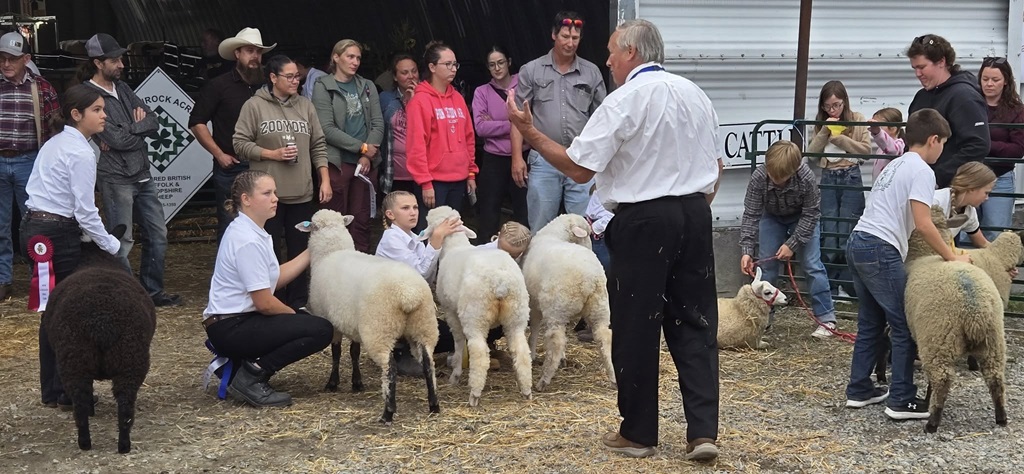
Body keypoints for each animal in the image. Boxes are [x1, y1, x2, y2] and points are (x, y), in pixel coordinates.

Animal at [43, 224, 156, 453]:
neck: (94, 257)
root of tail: (102, 322)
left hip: (80, 361)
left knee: (84, 403)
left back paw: (94, 443)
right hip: (125, 360)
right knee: (122, 406)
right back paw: (117, 445)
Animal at [303, 210, 440, 423]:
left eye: (313, 227)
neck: (331, 252)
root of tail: (408, 294)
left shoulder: (333, 322)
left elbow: (336, 352)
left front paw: (333, 383)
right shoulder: (353, 324)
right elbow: (354, 352)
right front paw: (357, 383)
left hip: (379, 329)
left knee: (390, 368)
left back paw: (388, 412)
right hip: (423, 325)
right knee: (428, 364)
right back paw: (434, 405)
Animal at [423, 206, 532, 406]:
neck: (454, 247)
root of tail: (500, 281)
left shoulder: (450, 311)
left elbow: (458, 340)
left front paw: (455, 374)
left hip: (475, 315)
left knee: (480, 354)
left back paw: (474, 394)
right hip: (517, 313)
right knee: (521, 351)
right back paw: (526, 390)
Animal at [519, 213, 614, 391]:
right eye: (588, 233)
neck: (555, 235)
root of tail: (590, 279)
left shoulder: (534, 303)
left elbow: (534, 328)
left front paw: (532, 352)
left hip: (557, 309)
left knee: (556, 343)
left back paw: (543, 381)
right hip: (599, 307)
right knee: (605, 338)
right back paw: (613, 378)